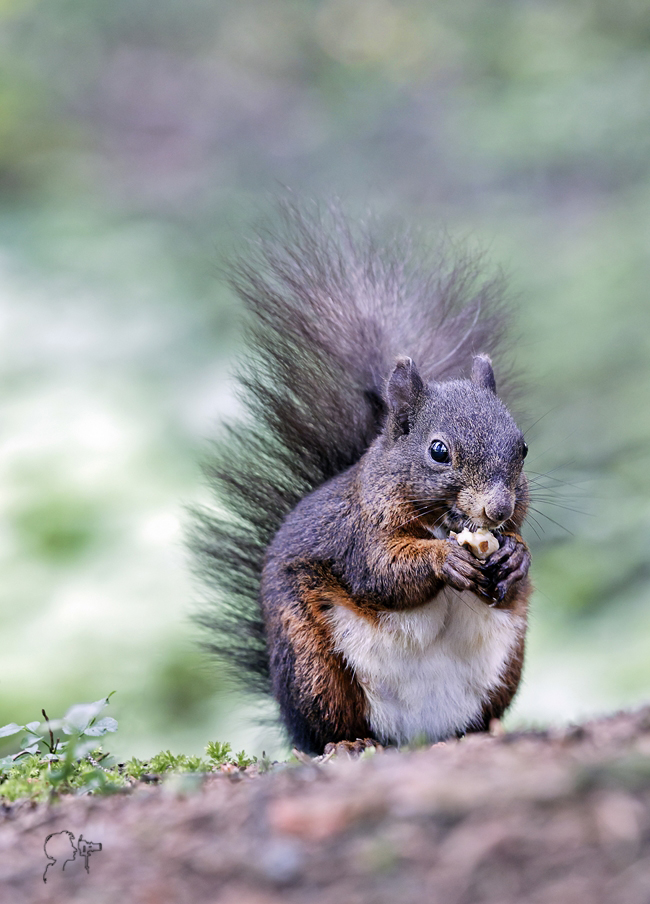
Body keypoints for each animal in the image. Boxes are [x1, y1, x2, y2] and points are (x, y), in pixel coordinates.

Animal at [192, 203, 528, 756]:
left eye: (522, 447)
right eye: (439, 451)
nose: (497, 510)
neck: (441, 522)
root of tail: (415, 734)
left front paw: (515, 556)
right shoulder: (356, 532)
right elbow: (381, 571)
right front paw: (445, 560)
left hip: (503, 668)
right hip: (313, 667)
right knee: (324, 730)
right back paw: (348, 745)